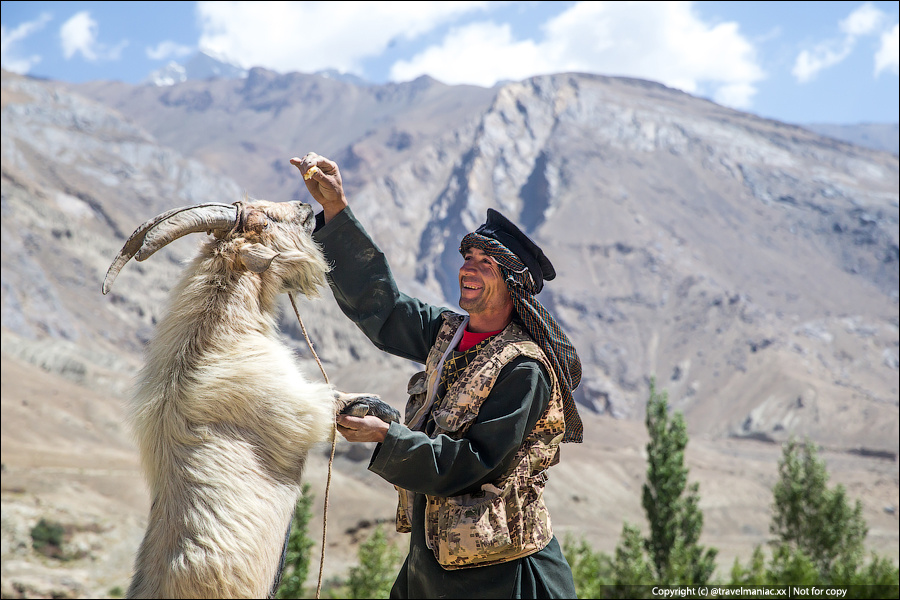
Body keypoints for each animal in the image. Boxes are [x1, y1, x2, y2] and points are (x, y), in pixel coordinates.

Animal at [103, 200, 398, 600]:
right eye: (266, 221)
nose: (307, 206)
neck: (212, 338)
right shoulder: (295, 405)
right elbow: (333, 404)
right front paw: (379, 408)